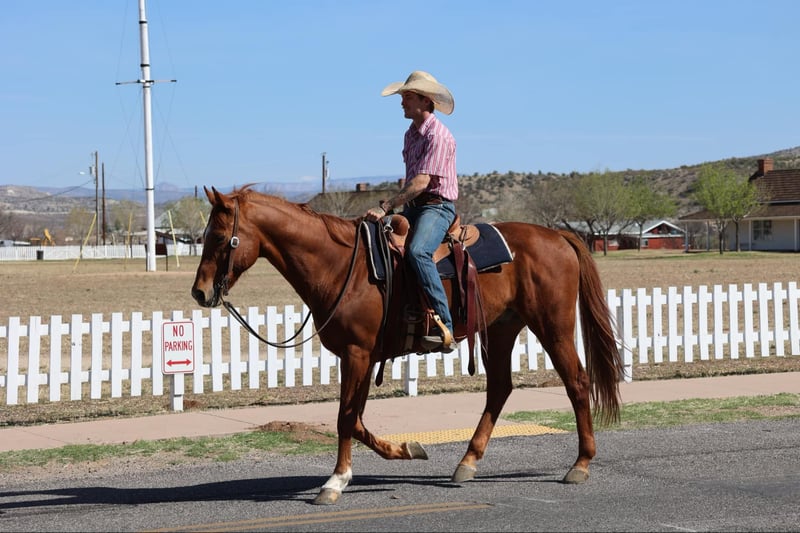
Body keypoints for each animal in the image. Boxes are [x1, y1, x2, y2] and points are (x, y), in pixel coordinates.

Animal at [191, 185, 624, 505]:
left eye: (219, 237)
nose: (200, 292)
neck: (340, 265)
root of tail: (557, 235)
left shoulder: (357, 354)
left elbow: (345, 418)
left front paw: (334, 482)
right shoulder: (364, 356)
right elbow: (357, 419)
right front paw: (407, 449)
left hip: (553, 326)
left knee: (577, 382)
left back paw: (581, 464)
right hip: (502, 329)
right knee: (500, 388)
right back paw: (467, 462)